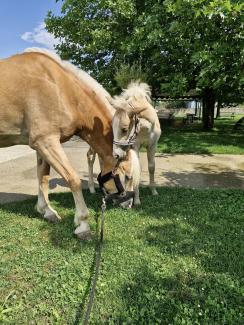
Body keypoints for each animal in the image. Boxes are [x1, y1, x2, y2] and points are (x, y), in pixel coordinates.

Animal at [0, 48, 139, 240]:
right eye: (126, 177)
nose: (129, 204)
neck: (58, 87)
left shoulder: (42, 145)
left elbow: (42, 176)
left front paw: (46, 211)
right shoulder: (45, 141)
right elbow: (73, 179)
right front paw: (83, 224)